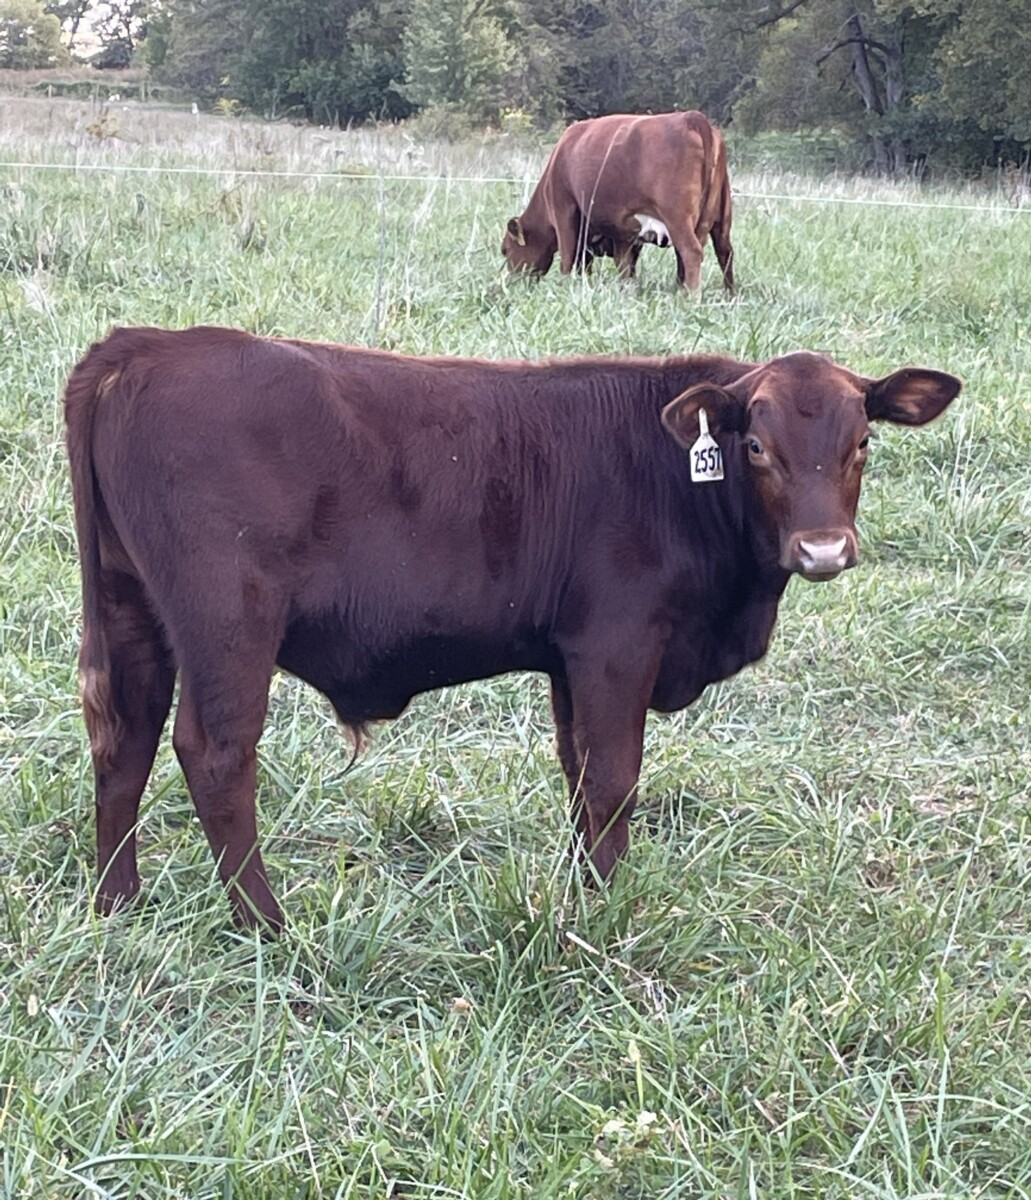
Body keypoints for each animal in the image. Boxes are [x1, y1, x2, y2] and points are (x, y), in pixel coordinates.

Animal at [64, 326, 960, 932]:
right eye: (755, 447)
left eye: (862, 441)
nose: (822, 549)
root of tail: (142, 347)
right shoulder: (616, 642)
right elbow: (614, 778)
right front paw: (605, 910)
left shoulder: (568, 657)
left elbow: (577, 773)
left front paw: (584, 887)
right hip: (229, 619)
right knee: (214, 754)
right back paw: (268, 926)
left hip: (130, 603)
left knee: (124, 739)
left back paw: (117, 904)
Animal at [501, 110, 735, 292]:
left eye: (505, 250)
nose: (510, 284)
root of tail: (692, 118)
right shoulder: (624, 235)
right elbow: (622, 268)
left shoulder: (563, 210)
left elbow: (568, 259)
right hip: (719, 218)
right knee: (724, 252)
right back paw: (726, 295)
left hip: (677, 217)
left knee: (690, 252)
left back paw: (690, 299)